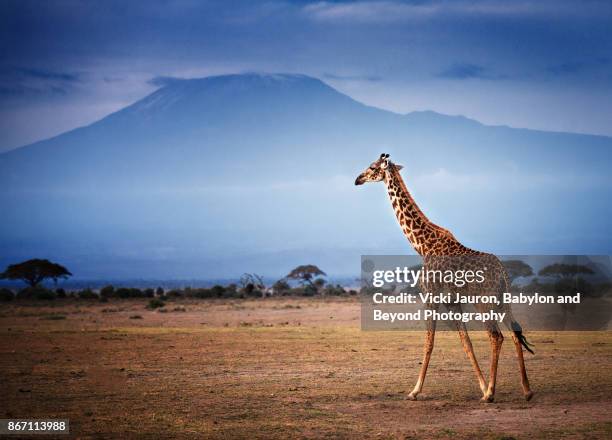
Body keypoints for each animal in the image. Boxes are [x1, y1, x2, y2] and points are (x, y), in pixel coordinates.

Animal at [356, 152, 532, 402]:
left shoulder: (430, 296)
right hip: (503, 301)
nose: (357, 179)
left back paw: (491, 393)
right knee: (515, 332)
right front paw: (481, 385)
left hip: (484, 302)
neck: (422, 245)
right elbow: (466, 342)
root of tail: (503, 273)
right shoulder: (451, 301)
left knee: (496, 336)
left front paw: (414, 391)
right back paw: (526, 390)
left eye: (372, 167)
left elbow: (429, 342)